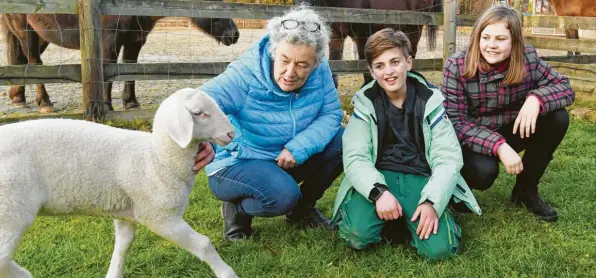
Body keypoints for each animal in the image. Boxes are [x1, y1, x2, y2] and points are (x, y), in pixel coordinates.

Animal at [1, 87, 240, 278]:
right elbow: (204, 245)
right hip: (11, 211)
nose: (231, 133)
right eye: (199, 113)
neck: (158, 158)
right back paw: (23, 275)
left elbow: (122, 246)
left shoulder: (126, 213)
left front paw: (113, 273)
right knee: (3, 257)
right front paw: (228, 274)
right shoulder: (161, 217)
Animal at [2, 1, 240, 113]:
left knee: (24, 65)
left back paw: (18, 97)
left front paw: (131, 103)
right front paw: (107, 106)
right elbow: (108, 72)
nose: (234, 34)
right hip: (27, 33)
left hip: (42, 36)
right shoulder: (109, 42)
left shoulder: (135, 41)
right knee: (34, 63)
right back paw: (44, 102)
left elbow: (130, 70)